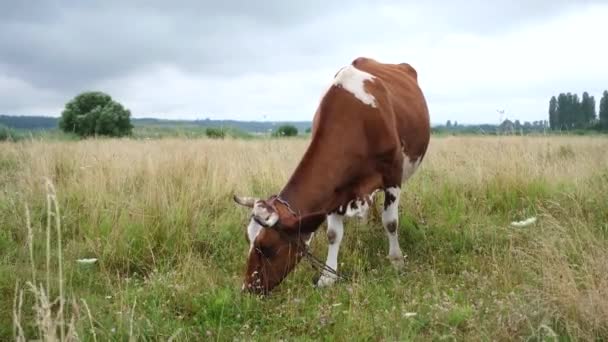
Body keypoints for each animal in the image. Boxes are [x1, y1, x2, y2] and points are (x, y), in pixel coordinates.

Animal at [233, 56, 428, 294]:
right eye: (248, 239)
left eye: (266, 247)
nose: (248, 289)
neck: (356, 122)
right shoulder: (336, 189)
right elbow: (333, 234)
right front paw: (328, 276)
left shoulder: (392, 175)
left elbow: (391, 222)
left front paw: (396, 261)